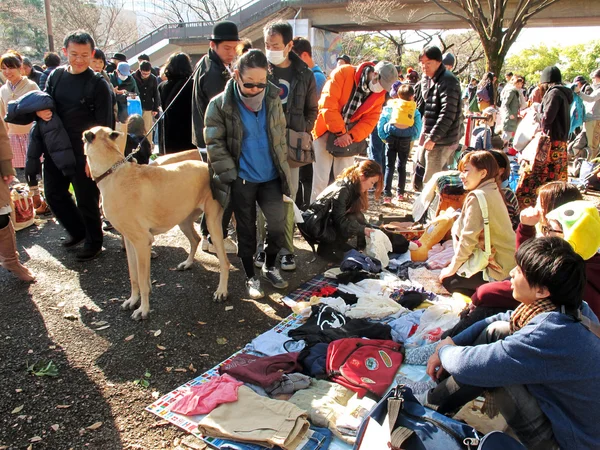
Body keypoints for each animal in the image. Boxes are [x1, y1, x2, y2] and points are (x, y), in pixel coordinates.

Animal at [82, 127, 227, 320]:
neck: (112, 172)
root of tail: (209, 167)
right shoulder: (131, 242)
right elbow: (134, 276)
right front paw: (133, 300)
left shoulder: (142, 242)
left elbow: (143, 281)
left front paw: (143, 309)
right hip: (183, 219)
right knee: (195, 239)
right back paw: (187, 263)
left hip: (212, 223)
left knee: (224, 262)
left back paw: (222, 291)